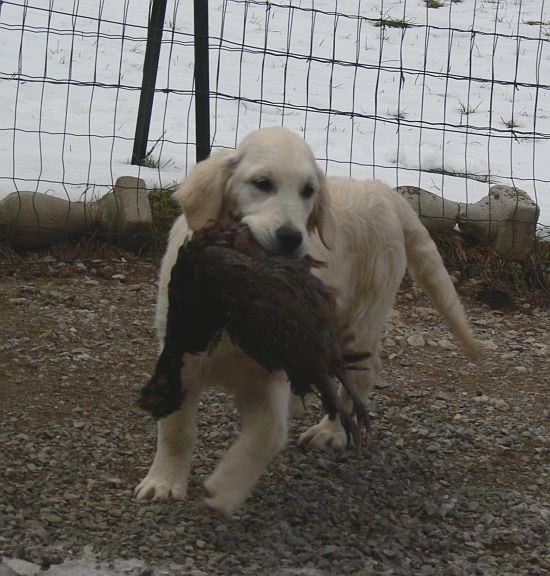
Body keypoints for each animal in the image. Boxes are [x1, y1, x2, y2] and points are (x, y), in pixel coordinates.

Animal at [135, 127, 478, 516]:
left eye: (308, 191)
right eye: (262, 184)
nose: (291, 238)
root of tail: (381, 189)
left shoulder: (269, 372)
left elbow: (266, 435)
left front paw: (225, 489)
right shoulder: (181, 356)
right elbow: (175, 428)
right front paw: (164, 482)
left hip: (359, 318)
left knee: (359, 374)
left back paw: (331, 430)